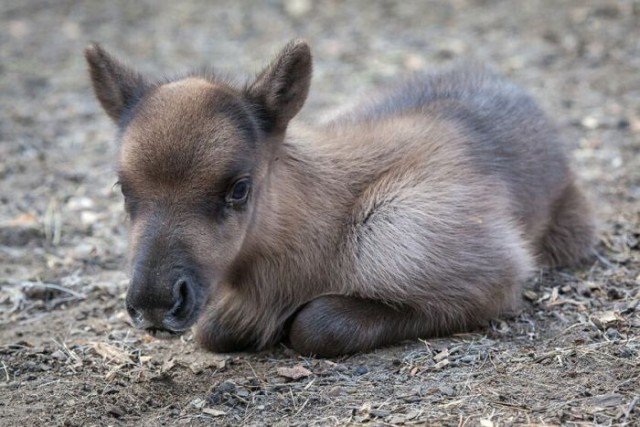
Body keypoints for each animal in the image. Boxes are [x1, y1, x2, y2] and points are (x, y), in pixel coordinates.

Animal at [85, 40, 596, 356]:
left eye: (239, 187)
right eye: (122, 186)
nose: (154, 302)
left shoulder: (492, 273)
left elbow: (317, 324)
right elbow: (216, 328)